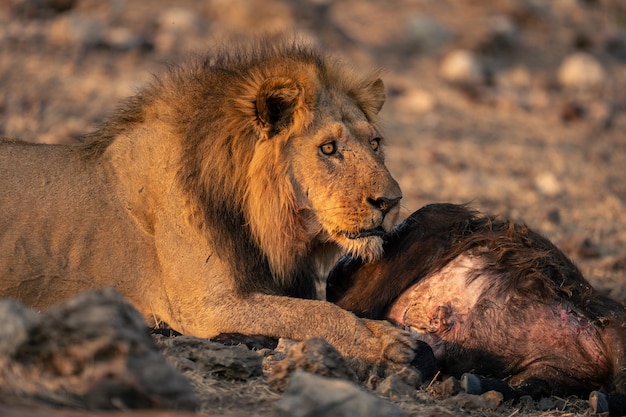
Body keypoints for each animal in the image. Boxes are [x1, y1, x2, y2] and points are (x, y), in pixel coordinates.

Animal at [0, 40, 414, 368]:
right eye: (328, 148)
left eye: (375, 143)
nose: (391, 201)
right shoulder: (205, 306)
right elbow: (314, 313)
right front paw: (387, 340)